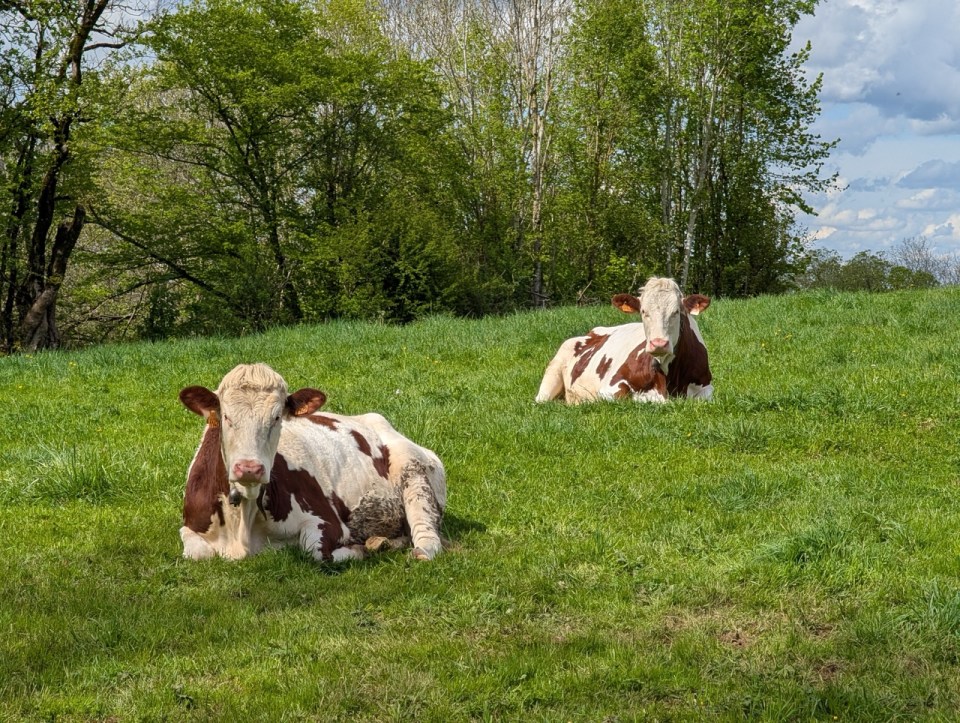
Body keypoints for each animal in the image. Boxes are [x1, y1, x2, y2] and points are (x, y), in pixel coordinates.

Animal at [178, 363, 446, 563]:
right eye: (226, 416)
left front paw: (357, 549)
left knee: (425, 532)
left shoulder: (327, 520)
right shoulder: (190, 525)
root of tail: (375, 419)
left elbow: (313, 551)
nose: (249, 468)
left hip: (413, 470)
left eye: (277, 417)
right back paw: (381, 542)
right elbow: (195, 553)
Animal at [535, 277, 713, 405]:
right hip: (552, 374)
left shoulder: (707, 391)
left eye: (676, 312)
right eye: (643, 311)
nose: (658, 344)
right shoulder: (609, 389)